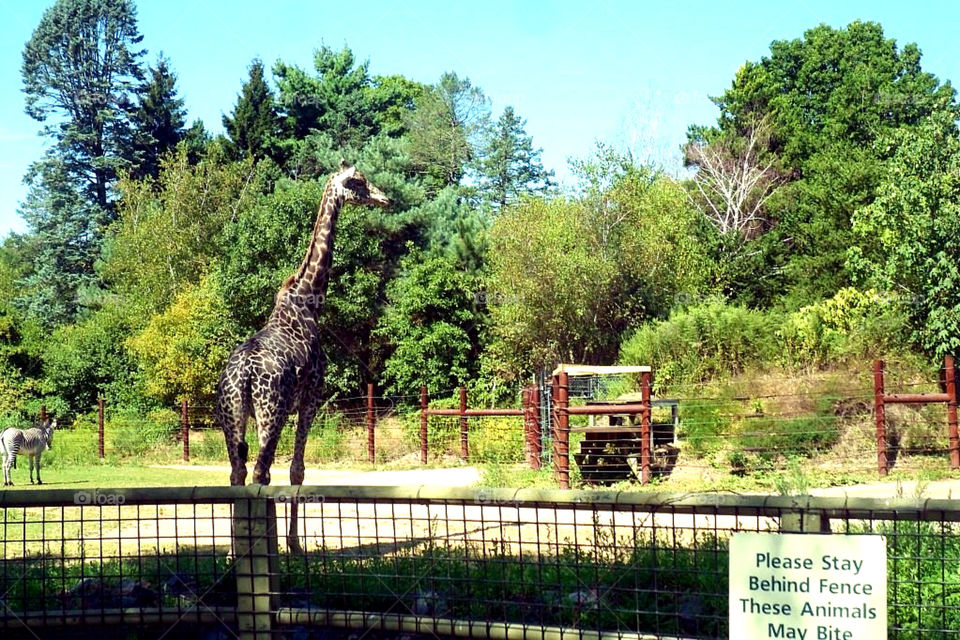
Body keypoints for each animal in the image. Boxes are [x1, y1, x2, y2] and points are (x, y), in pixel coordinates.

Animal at [215, 162, 390, 552]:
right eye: (359, 181)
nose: (385, 197)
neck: (309, 299)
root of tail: (242, 376)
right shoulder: (311, 398)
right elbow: (297, 469)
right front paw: (295, 545)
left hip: (231, 413)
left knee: (237, 471)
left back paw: (236, 550)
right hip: (271, 412)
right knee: (261, 470)